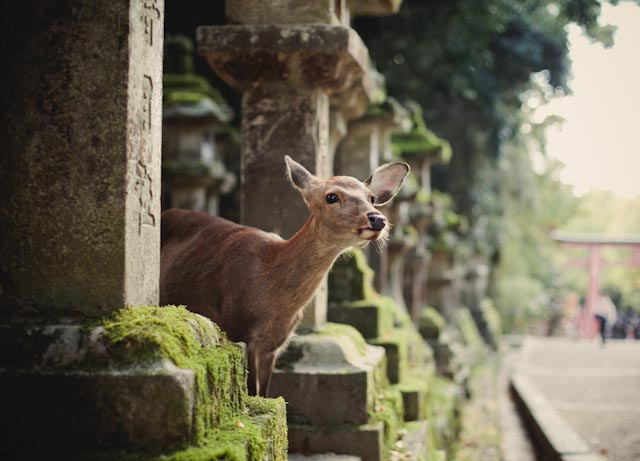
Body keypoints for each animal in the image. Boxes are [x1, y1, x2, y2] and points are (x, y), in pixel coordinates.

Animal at [160, 155, 410, 396]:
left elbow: (265, 393)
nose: (377, 219)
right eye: (331, 196)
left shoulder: (275, 344)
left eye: (372, 198)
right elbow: (253, 393)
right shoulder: (239, 327)